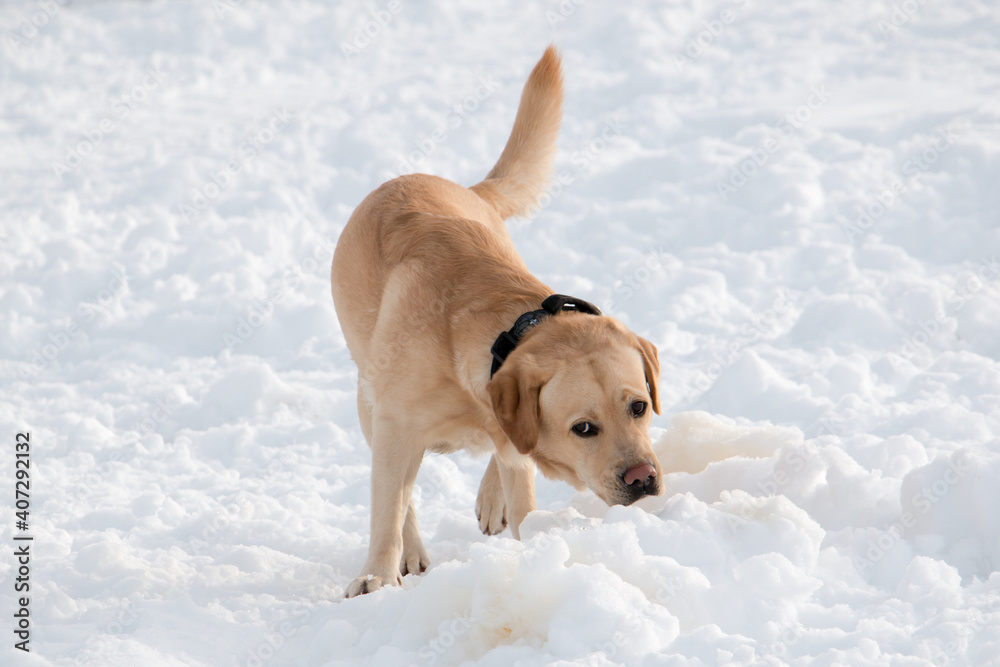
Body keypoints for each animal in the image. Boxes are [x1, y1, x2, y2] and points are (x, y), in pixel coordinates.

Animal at [334, 48, 664, 600]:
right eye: (584, 428)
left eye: (639, 406)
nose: (643, 479)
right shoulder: (393, 428)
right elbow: (390, 508)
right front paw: (378, 575)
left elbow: (518, 477)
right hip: (367, 401)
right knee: (404, 495)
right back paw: (413, 553)